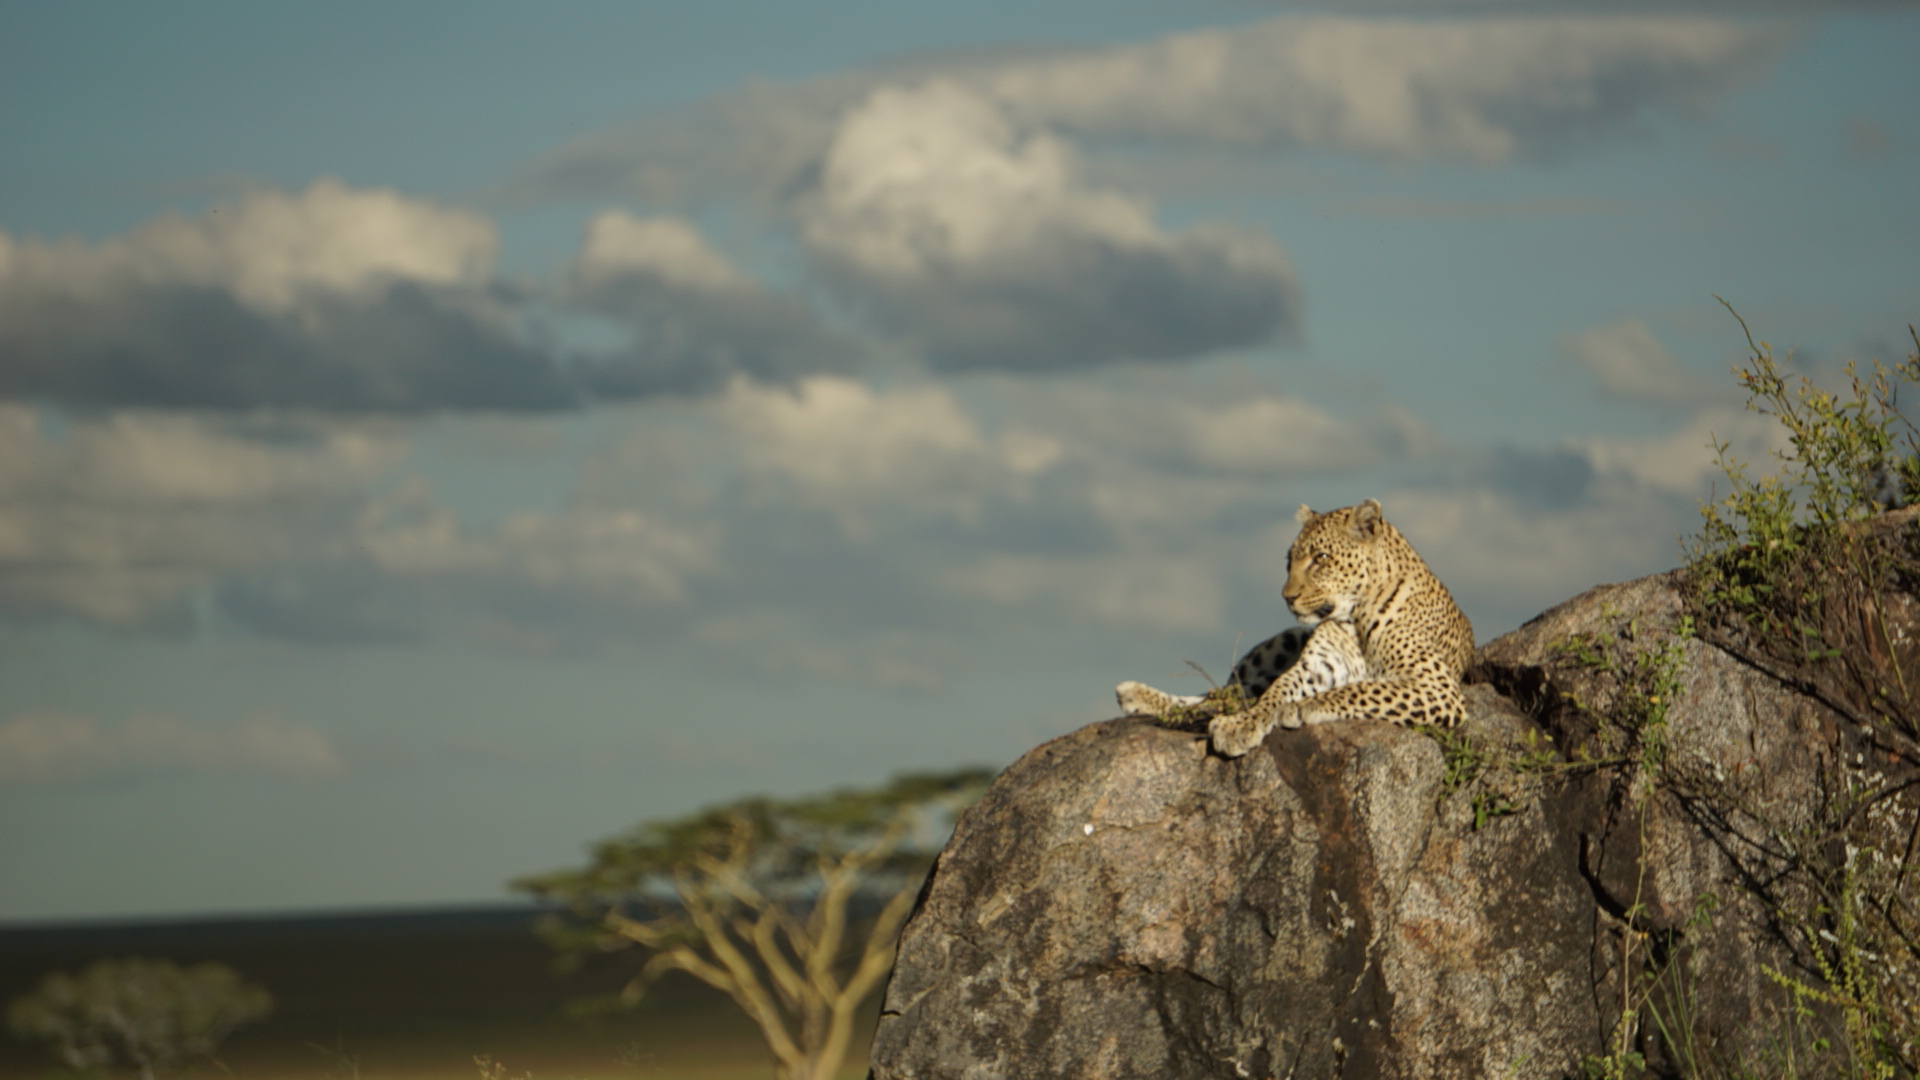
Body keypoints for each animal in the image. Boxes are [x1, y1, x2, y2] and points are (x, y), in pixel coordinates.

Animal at [1121, 499, 1474, 757]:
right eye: (1288, 560)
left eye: (1321, 558)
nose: (1287, 597)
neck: (1355, 617)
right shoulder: (1317, 667)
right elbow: (1276, 692)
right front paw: (1241, 725)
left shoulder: (1435, 685)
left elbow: (1361, 689)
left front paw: (1300, 707)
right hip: (1278, 643)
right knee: (1222, 693)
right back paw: (1135, 695)